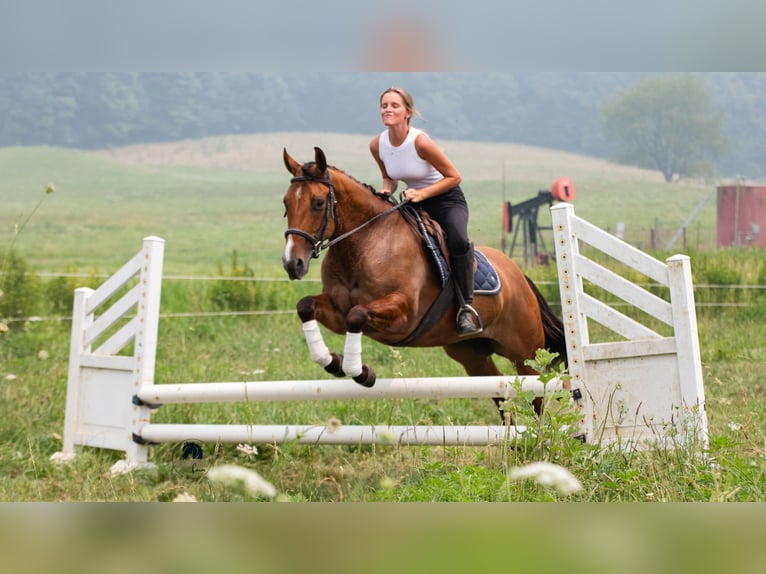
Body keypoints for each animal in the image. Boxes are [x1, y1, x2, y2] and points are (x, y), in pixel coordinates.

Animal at [281, 147, 567, 419]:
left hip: (525, 352)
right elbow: (306, 306)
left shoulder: (403, 313)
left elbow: (357, 313)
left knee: (536, 395)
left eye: (318, 202)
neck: (365, 242)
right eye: (286, 202)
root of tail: (519, 275)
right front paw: (333, 362)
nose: (292, 263)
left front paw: (360, 372)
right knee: (499, 390)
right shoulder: (338, 313)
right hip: (470, 353)